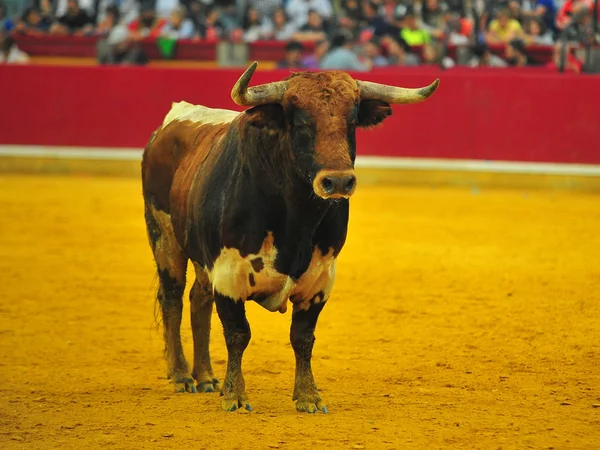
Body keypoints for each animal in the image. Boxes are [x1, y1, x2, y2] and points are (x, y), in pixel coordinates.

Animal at [142, 61, 438, 414]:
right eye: (300, 120)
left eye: (352, 119)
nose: (338, 181)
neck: (295, 220)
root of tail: (169, 124)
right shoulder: (229, 274)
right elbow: (238, 333)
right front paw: (235, 396)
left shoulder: (320, 280)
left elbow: (303, 337)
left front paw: (308, 396)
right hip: (164, 238)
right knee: (172, 298)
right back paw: (181, 375)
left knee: (198, 299)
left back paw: (206, 377)